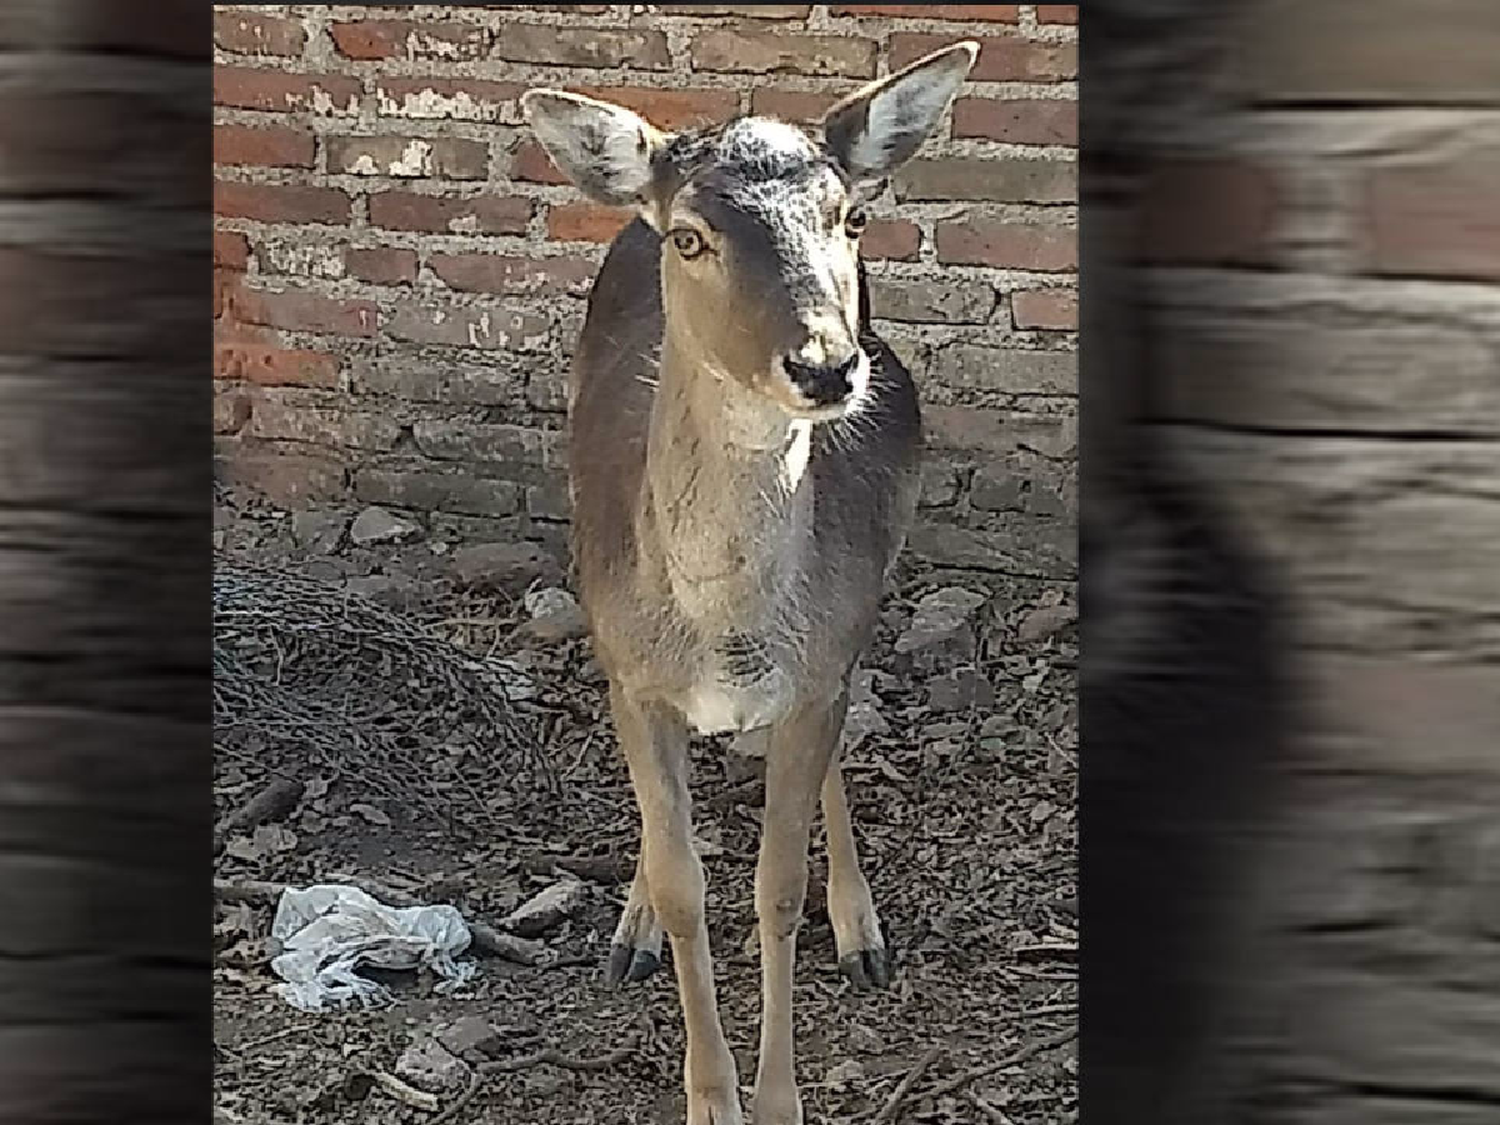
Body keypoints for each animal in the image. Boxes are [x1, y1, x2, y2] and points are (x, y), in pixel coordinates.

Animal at [522, 39, 978, 1122]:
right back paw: (630, 927)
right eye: (692, 236)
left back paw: (861, 931)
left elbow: (775, 887)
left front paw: (777, 1100)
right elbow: (685, 880)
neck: (721, 628)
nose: (826, 366)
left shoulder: (821, 666)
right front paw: (708, 1094)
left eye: (849, 217)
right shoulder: (629, 673)